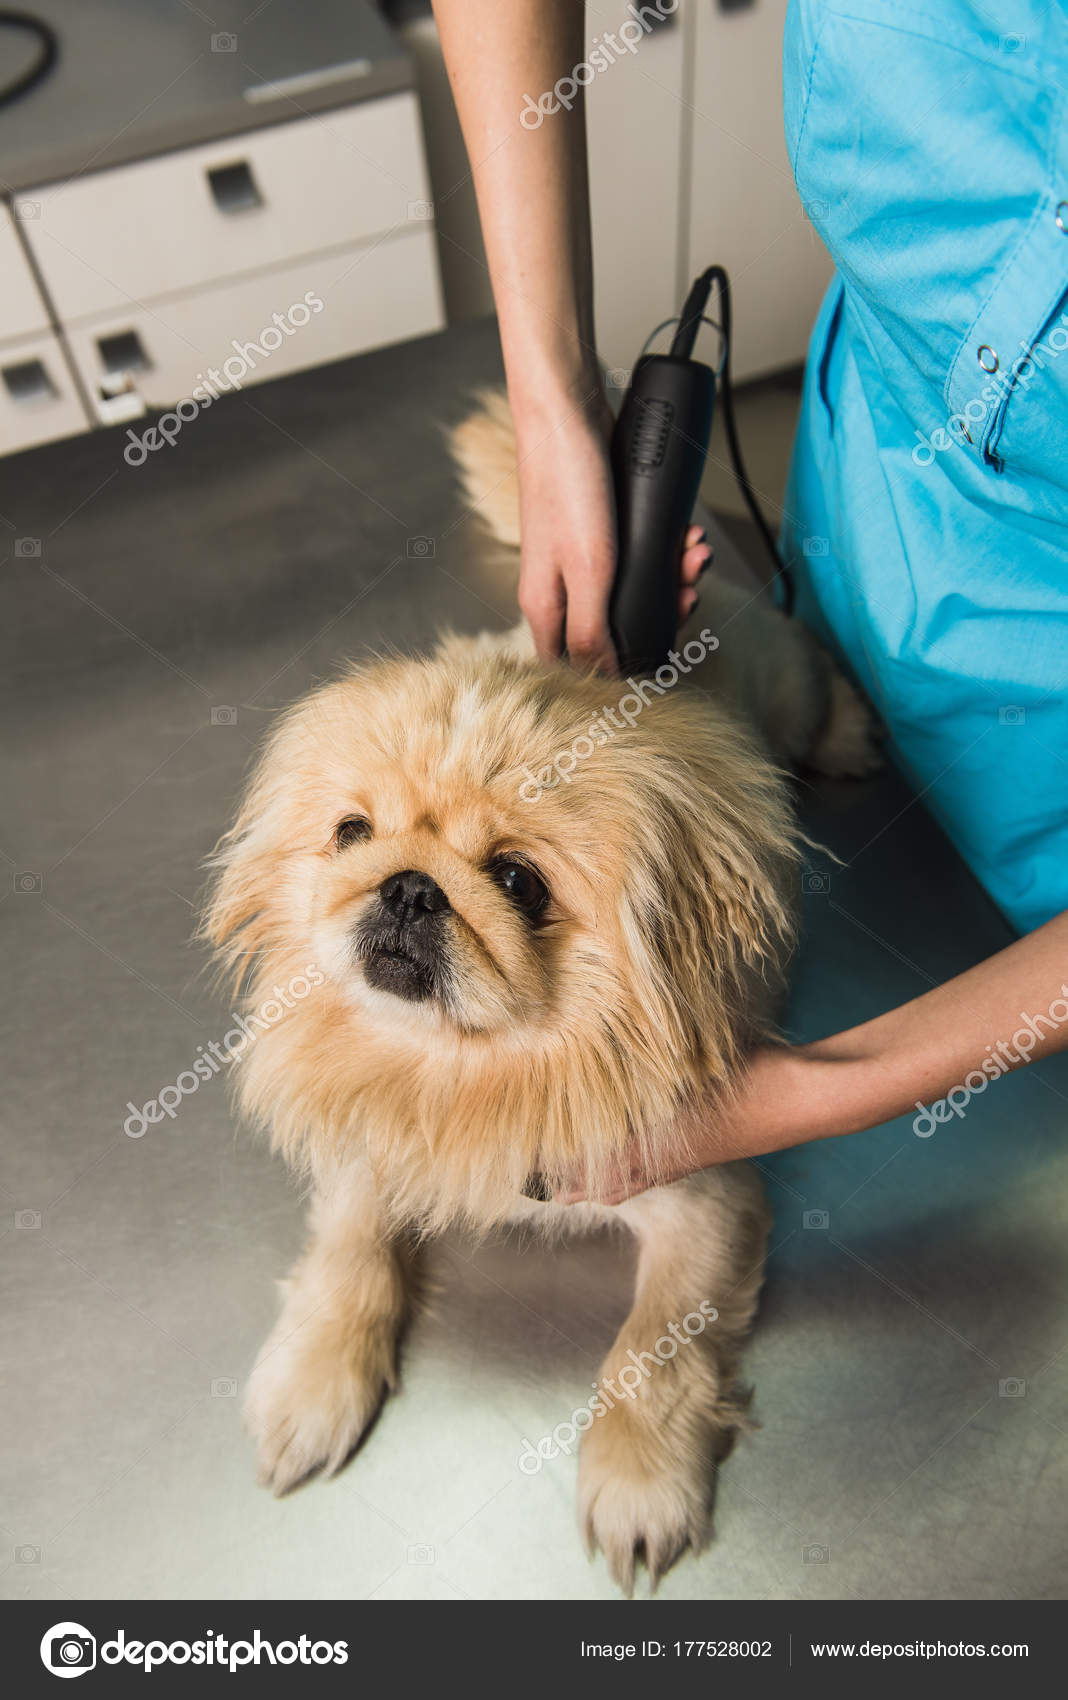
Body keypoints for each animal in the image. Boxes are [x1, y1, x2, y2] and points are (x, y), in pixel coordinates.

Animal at [206, 391, 877, 1584]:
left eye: (518, 882)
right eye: (352, 833)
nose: (411, 887)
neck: (468, 1069)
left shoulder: (704, 1198)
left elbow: (651, 1356)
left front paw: (639, 1485)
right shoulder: (368, 1140)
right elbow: (347, 1253)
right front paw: (314, 1381)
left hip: (788, 688)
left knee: (816, 673)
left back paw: (854, 732)